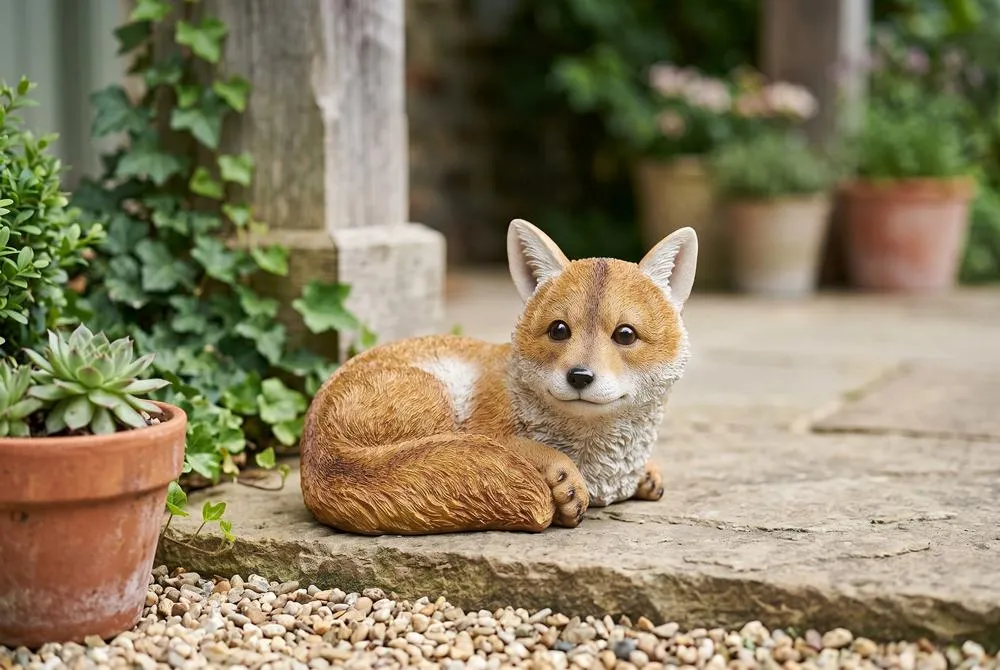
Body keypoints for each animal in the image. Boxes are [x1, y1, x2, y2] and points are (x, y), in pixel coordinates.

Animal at [299, 218, 698, 535]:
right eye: (559, 330)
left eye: (625, 335)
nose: (580, 376)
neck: (602, 465)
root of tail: (318, 450)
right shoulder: (483, 429)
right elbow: (521, 447)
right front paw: (562, 475)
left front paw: (646, 473)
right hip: (436, 396)